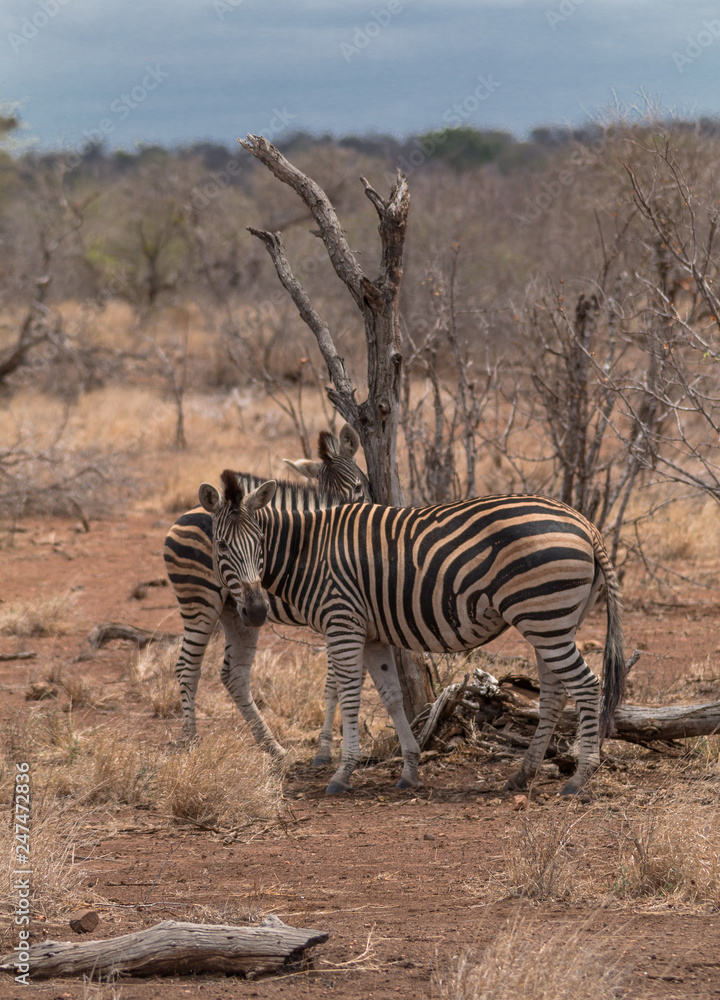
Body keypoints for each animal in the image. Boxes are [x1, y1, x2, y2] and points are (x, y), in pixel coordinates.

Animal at [163, 425, 371, 754]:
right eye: (326, 495)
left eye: (358, 488)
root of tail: (182, 516)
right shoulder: (337, 611)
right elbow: (336, 678)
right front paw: (327, 746)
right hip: (199, 601)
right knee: (187, 667)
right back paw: (193, 741)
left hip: (237, 611)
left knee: (233, 674)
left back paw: (272, 746)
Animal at [199, 475, 626, 797]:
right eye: (221, 545)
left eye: (260, 543)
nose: (256, 611)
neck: (310, 551)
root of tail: (584, 522)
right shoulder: (371, 634)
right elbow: (390, 696)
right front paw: (410, 770)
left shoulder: (343, 621)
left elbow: (350, 694)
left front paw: (342, 773)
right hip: (553, 621)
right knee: (555, 693)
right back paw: (522, 774)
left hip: (544, 616)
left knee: (587, 684)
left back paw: (579, 778)